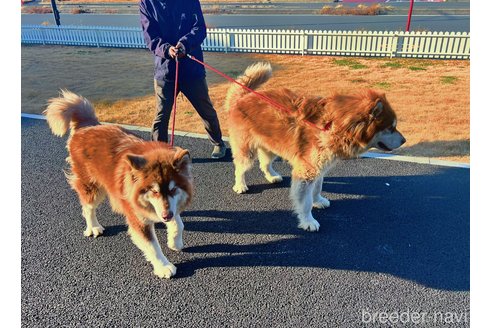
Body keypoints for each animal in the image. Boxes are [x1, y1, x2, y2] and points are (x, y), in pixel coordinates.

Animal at [43, 90, 192, 280]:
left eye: (173, 189)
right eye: (153, 191)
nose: (166, 216)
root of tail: (88, 125)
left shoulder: (170, 206)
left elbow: (179, 223)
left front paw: (175, 241)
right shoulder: (137, 217)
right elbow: (152, 245)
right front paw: (163, 266)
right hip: (93, 187)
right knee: (87, 207)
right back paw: (94, 227)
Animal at [225, 62, 406, 232]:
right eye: (391, 127)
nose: (404, 140)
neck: (333, 126)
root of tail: (243, 97)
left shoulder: (319, 167)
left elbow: (317, 188)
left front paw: (318, 201)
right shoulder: (306, 171)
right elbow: (305, 202)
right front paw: (308, 221)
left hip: (271, 145)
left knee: (265, 164)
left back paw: (272, 176)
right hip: (247, 151)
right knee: (240, 168)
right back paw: (240, 185)